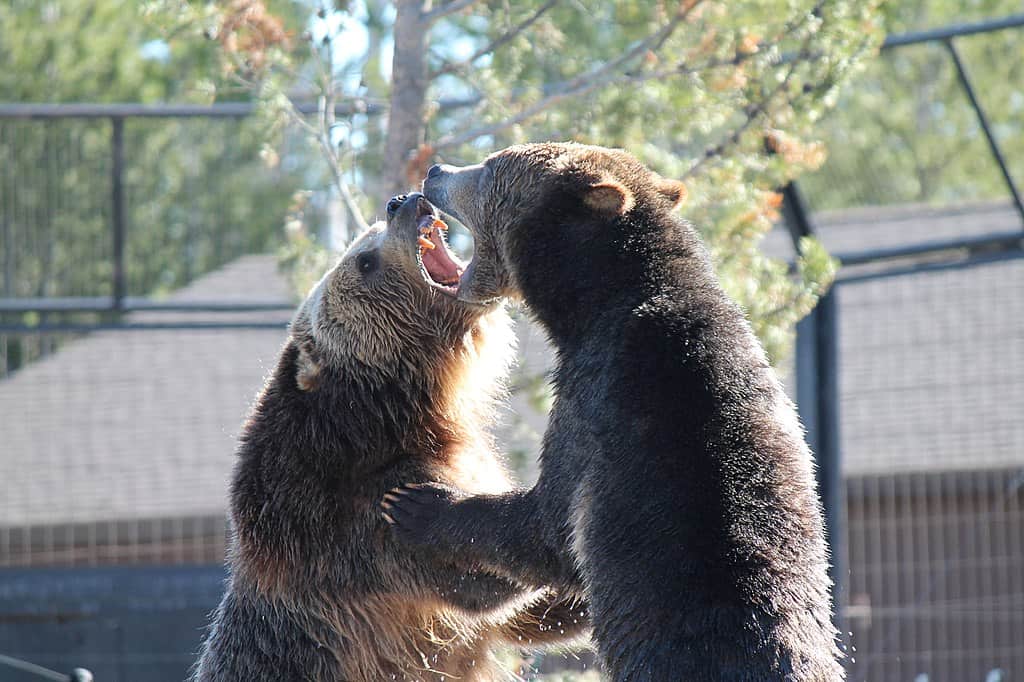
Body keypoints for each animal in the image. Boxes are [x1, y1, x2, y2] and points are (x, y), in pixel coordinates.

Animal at [192, 192, 589, 679]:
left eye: (367, 234)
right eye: (364, 260)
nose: (402, 201)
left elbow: (537, 613)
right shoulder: (359, 536)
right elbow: (488, 583)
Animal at [380, 140, 843, 675]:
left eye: (492, 166)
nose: (436, 171)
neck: (596, 304)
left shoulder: (599, 401)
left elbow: (550, 530)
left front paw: (418, 503)